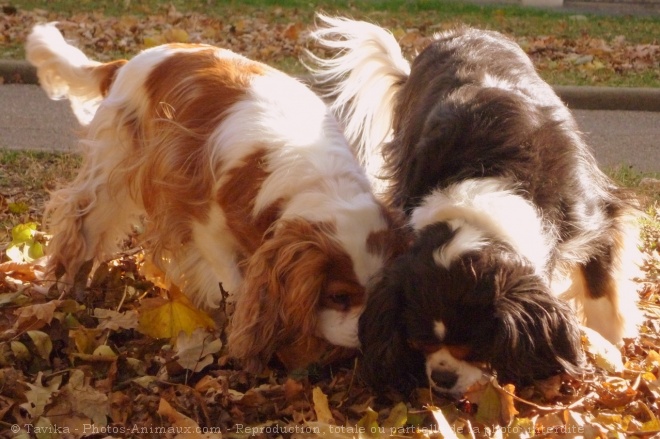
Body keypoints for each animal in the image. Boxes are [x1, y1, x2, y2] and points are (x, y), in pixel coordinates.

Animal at [25, 24, 404, 372]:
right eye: (339, 296)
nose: (368, 334)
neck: (319, 183)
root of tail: (126, 63)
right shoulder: (207, 228)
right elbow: (236, 287)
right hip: (114, 165)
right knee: (82, 221)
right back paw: (66, 286)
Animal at [310, 16, 644, 396]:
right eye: (419, 343)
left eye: (474, 349)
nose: (442, 379)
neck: (482, 185)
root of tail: (457, 32)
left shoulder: (591, 212)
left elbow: (600, 281)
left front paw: (610, 346)